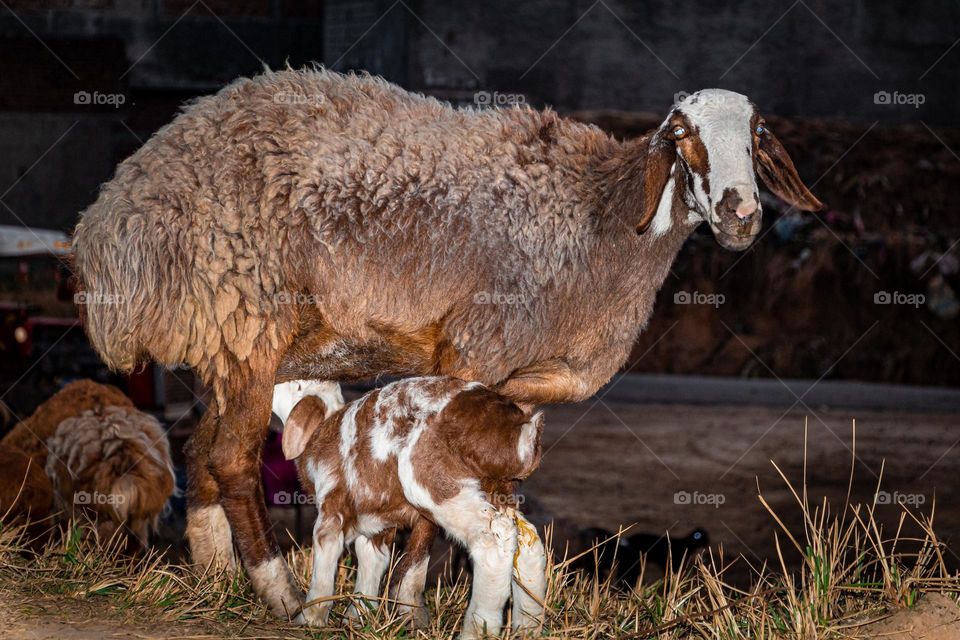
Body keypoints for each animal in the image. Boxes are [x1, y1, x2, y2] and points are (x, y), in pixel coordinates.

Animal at [72, 68, 822, 612]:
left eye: (756, 135)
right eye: (684, 135)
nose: (741, 214)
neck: (602, 222)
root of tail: (110, 224)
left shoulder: (528, 385)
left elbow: (500, 484)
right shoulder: (471, 352)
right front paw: (406, 601)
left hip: (226, 345)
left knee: (198, 453)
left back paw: (217, 579)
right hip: (244, 316)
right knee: (229, 460)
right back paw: (277, 590)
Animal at [272, 377, 547, 639]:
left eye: (294, 384)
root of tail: (518, 434)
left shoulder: (331, 508)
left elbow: (325, 556)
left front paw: (310, 618)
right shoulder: (377, 526)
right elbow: (370, 562)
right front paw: (359, 617)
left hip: (434, 482)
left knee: (491, 542)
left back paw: (477, 630)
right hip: (498, 490)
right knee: (526, 541)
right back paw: (528, 626)